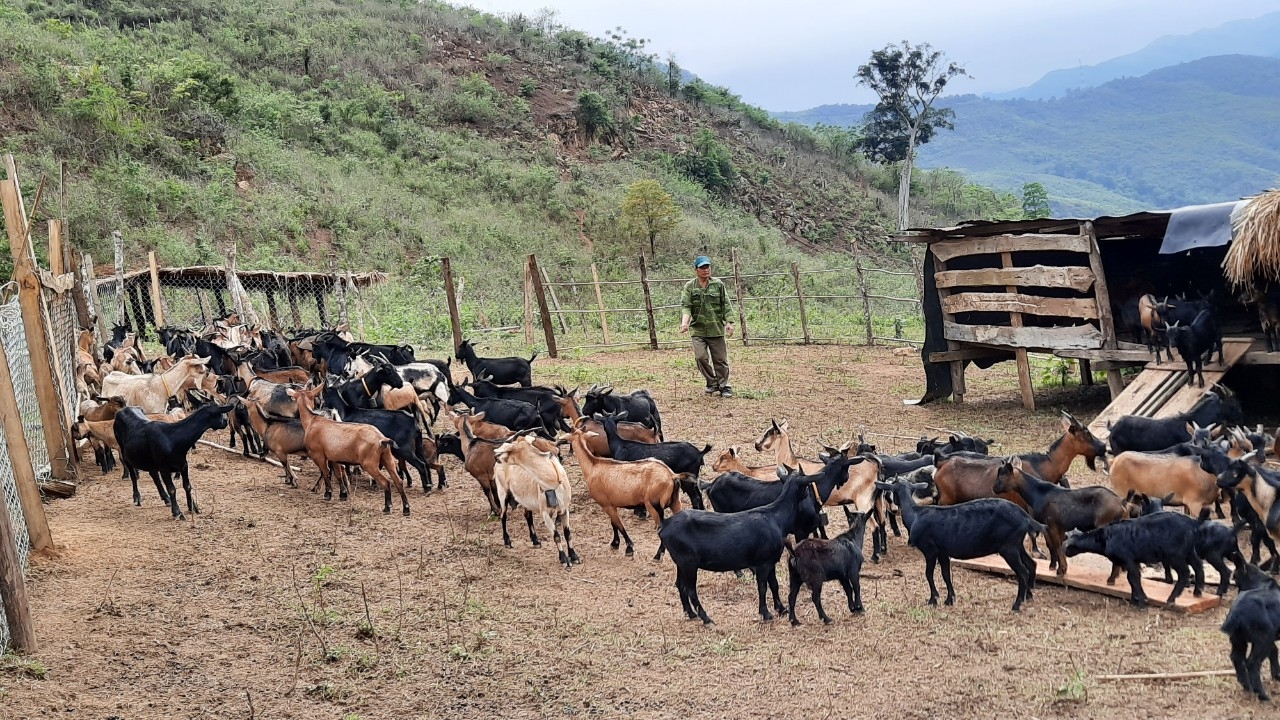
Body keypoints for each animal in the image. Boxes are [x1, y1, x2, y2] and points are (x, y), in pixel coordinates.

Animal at [993, 456, 1126, 573]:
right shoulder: (1053, 526)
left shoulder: (1052, 524)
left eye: (1003, 475)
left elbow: (1057, 545)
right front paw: (1053, 565)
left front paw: (1061, 569)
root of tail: (1122, 505)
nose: (994, 488)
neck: (1039, 493)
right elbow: (1052, 545)